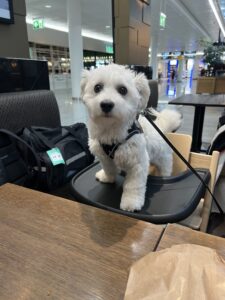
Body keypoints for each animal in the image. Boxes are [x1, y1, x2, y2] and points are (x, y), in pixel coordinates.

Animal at [81, 64, 181, 212]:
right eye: (97, 88)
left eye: (123, 90)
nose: (106, 104)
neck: (111, 130)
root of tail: (161, 128)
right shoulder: (104, 157)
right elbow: (109, 168)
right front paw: (107, 177)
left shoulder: (138, 164)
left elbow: (133, 186)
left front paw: (131, 203)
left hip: (164, 160)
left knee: (165, 169)